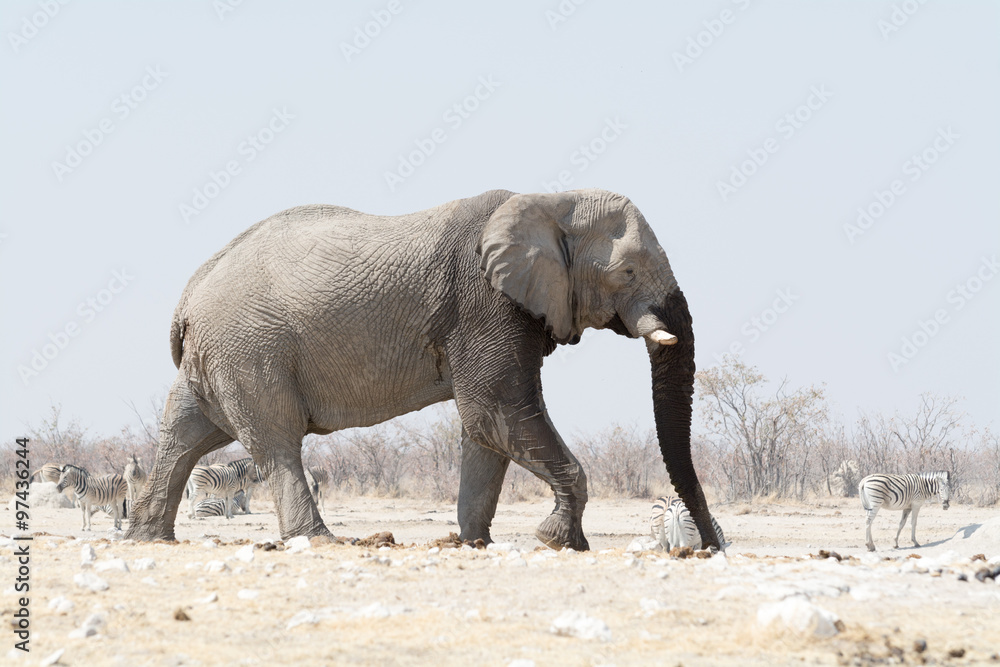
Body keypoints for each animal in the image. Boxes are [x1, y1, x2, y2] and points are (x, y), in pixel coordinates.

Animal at [125, 188, 719, 551]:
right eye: (627, 271)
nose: (715, 547)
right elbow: (498, 410)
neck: (549, 200)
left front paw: (474, 542)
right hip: (250, 348)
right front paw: (560, 542)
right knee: (275, 441)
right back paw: (318, 541)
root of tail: (188, 296)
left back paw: (147, 539)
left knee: (185, 435)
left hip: (220, 355)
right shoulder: (486, 302)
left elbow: (486, 430)